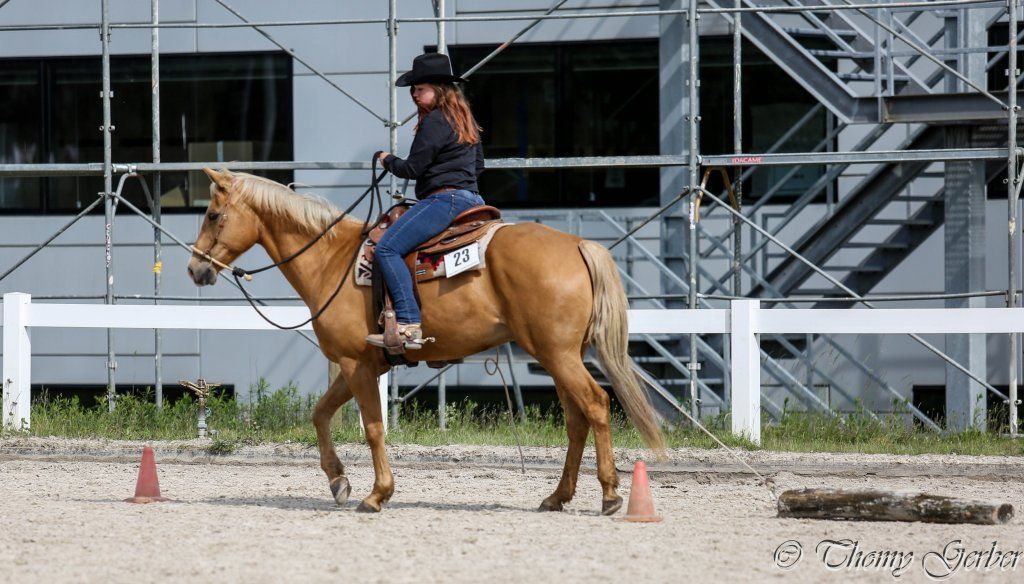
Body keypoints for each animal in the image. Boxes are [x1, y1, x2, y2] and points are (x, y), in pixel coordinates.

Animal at [188, 168, 665, 514]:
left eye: (212, 214)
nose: (195, 269)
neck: (332, 260)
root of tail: (578, 244)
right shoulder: (362, 363)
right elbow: (320, 414)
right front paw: (338, 481)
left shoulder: (356, 364)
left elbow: (373, 429)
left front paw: (377, 494)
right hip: (560, 356)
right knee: (576, 419)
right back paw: (557, 497)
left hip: (558, 355)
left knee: (596, 406)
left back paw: (609, 495)